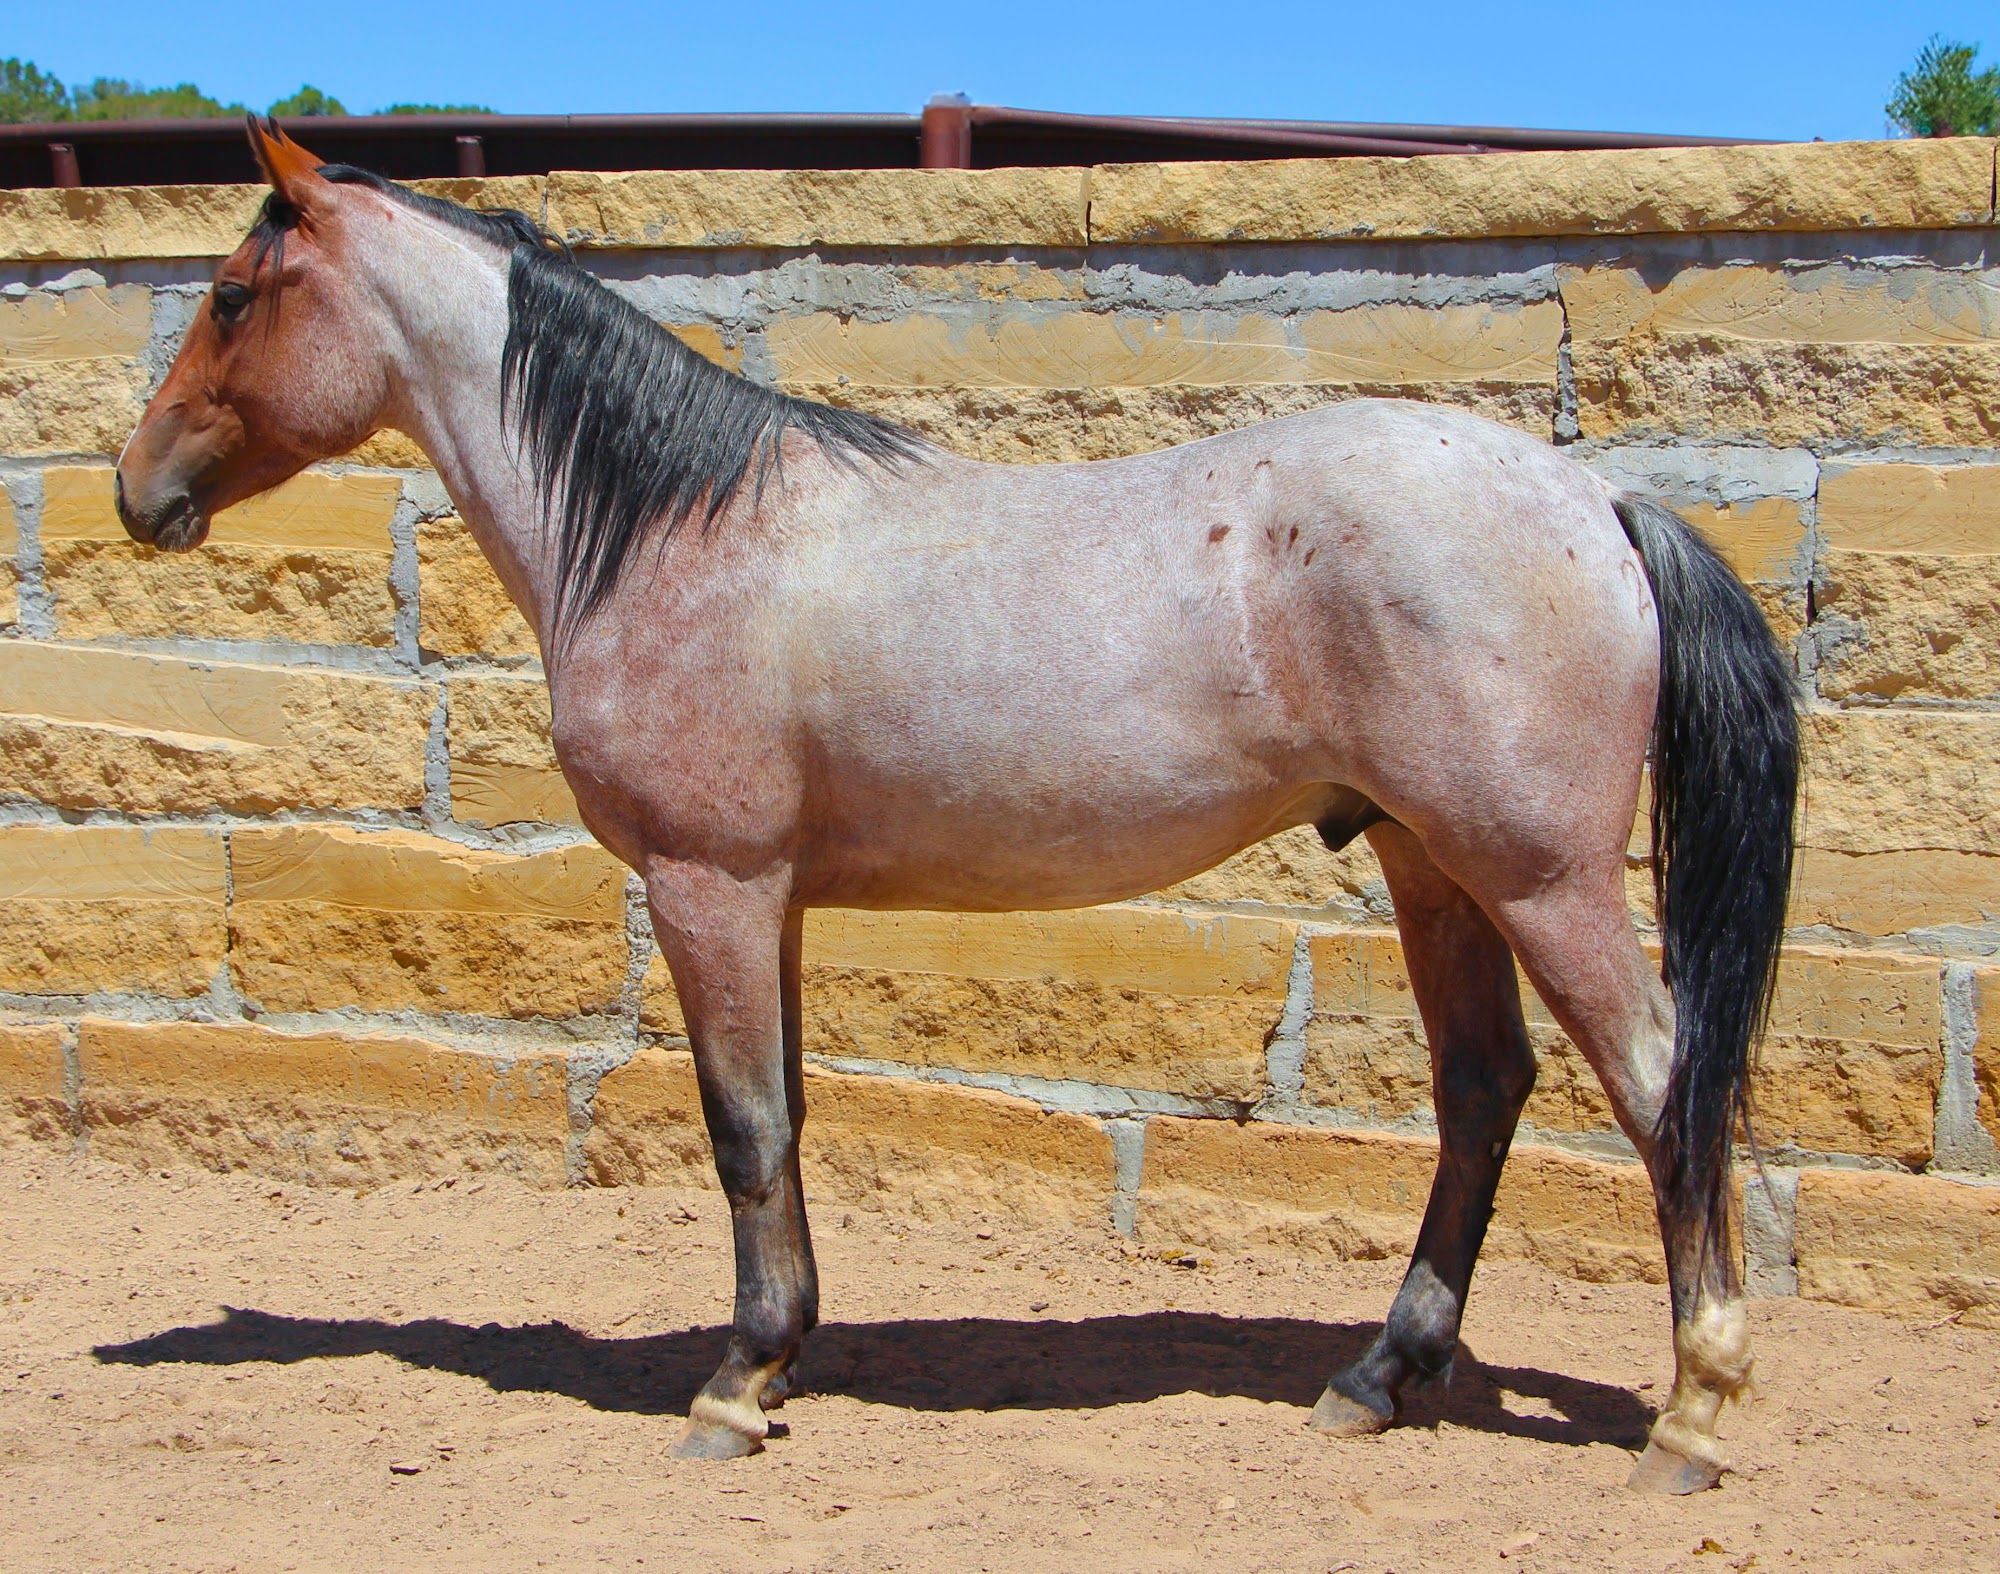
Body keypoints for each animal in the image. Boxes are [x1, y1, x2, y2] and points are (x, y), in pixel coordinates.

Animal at [115, 119, 1799, 1493]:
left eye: (234, 296)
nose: (137, 490)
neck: (676, 532)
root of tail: (1600, 504)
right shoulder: (770, 899)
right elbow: (784, 1112)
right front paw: (784, 1350)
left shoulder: (710, 882)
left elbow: (740, 1123)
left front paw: (736, 1382)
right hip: (1432, 865)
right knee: (1483, 1089)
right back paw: (1379, 1377)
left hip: (1538, 878)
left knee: (1662, 1087)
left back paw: (1696, 1415)